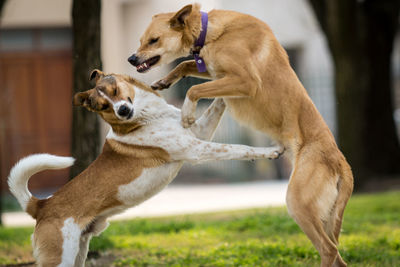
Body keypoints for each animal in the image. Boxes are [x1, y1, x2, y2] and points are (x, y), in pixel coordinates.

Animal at [6, 70, 282, 266]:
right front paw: (270, 152)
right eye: (103, 106)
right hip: (61, 256)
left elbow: (218, 101)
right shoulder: (196, 149)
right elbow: (238, 148)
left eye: (115, 90)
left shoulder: (199, 131)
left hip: (79, 252)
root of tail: (41, 206)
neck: (146, 118)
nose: (123, 109)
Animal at [128, 3, 354, 266]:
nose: (131, 59)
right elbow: (185, 66)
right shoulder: (214, 69)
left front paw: (186, 114)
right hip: (323, 215)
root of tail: (341, 162)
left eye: (153, 40)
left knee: (329, 249)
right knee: (335, 254)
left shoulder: (245, 81)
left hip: (299, 203)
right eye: (141, 40)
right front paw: (165, 81)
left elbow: (194, 89)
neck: (211, 33)